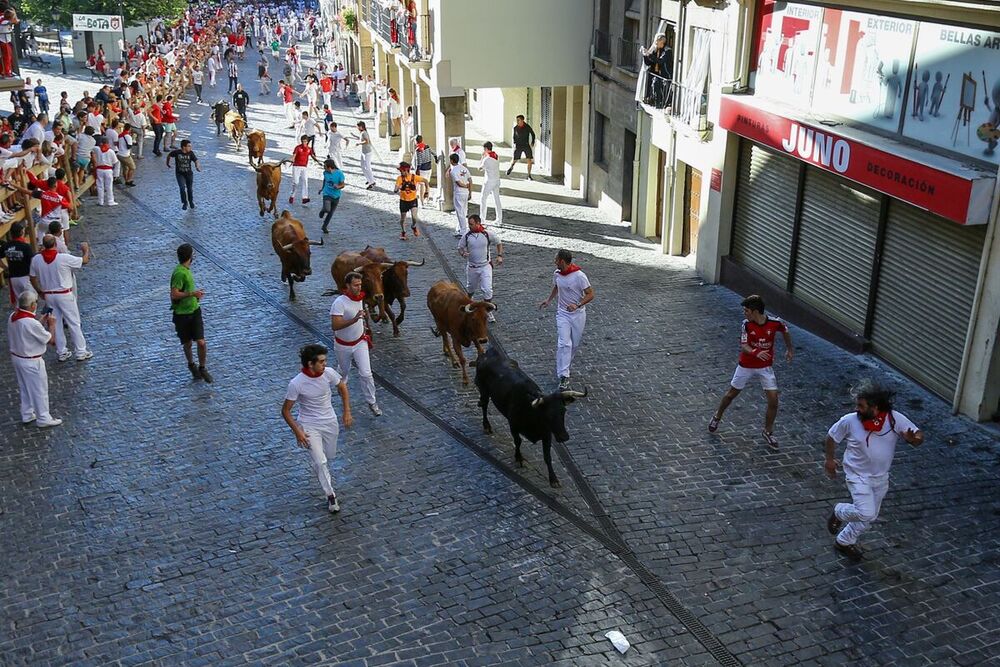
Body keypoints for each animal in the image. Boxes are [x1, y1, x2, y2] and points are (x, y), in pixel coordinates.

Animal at [474, 348, 584, 488]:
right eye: (548, 414)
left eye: (563, 411)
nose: (564, 437)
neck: (532, 414)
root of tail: (489, 353)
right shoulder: (513, 426)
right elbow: (518, 441)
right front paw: (519, 458)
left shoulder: (547, 435)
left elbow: (547, 456)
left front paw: (553, 479)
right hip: (484, 391)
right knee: (484, 406)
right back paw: (487, 426)